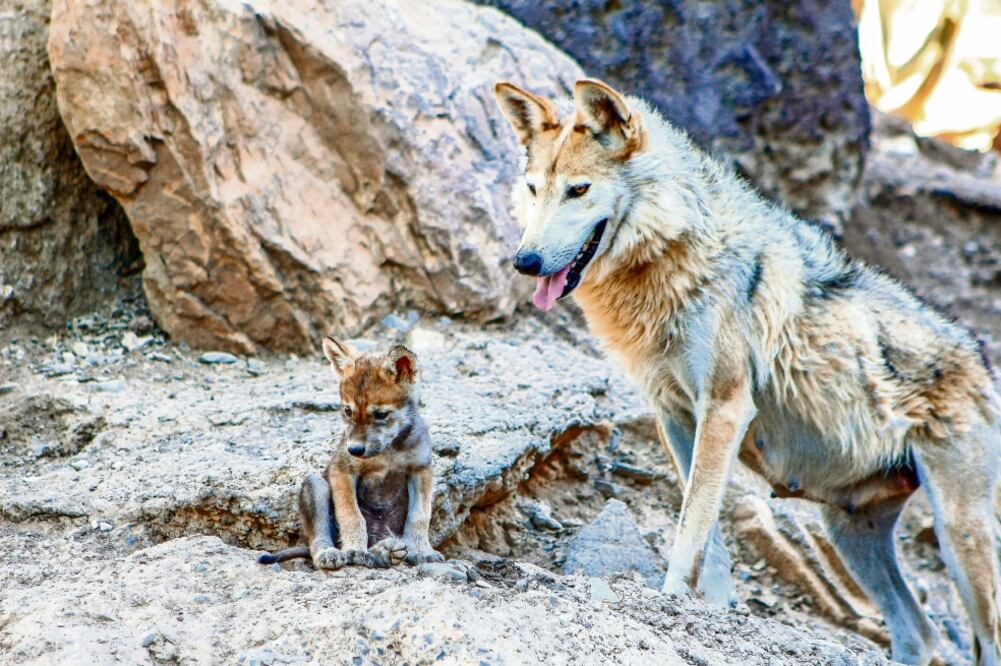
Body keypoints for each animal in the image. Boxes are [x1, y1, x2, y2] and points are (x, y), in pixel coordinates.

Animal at [259, 338, 444, 569]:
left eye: (381, 414)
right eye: (348, 411)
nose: (354, 450)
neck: (388, 451)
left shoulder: (421, 470)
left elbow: (419, 515)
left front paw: (421, 550)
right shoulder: (343, 472)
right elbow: (352, 515)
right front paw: (354, 550)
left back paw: (386, 551)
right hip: (316, 485)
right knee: (317, 540)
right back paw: (332, 553)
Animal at [494, 78, 1001, 665]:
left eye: (578, 190)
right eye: (534, 189)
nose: (525, 261)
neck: (677, 256)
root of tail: (981, 359)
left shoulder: (725, 408)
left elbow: (692, 525)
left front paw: (673, 598)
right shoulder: (675, 416)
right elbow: (707, 537)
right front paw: (710, 611)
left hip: (958, 536)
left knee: (980, 637)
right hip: (850, 535)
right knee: (920, 631)